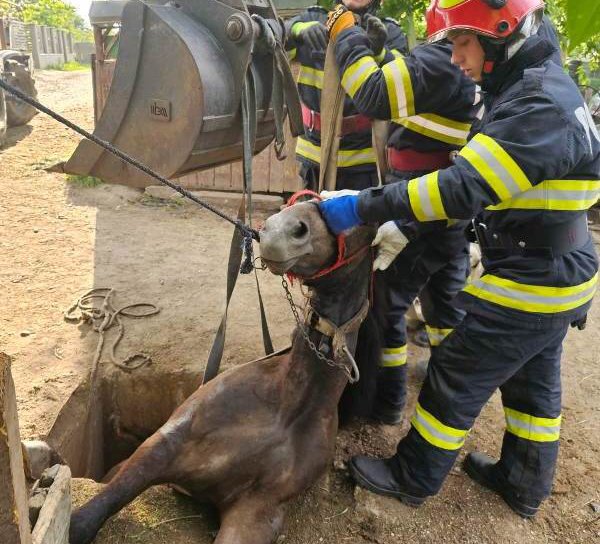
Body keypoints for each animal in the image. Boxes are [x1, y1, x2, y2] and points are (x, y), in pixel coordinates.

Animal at [70, 200, 378, 544]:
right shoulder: (165, 444)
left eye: (361, 210)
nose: (280, 228)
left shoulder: (256, 512)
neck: (290, 404)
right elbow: (95, 510)